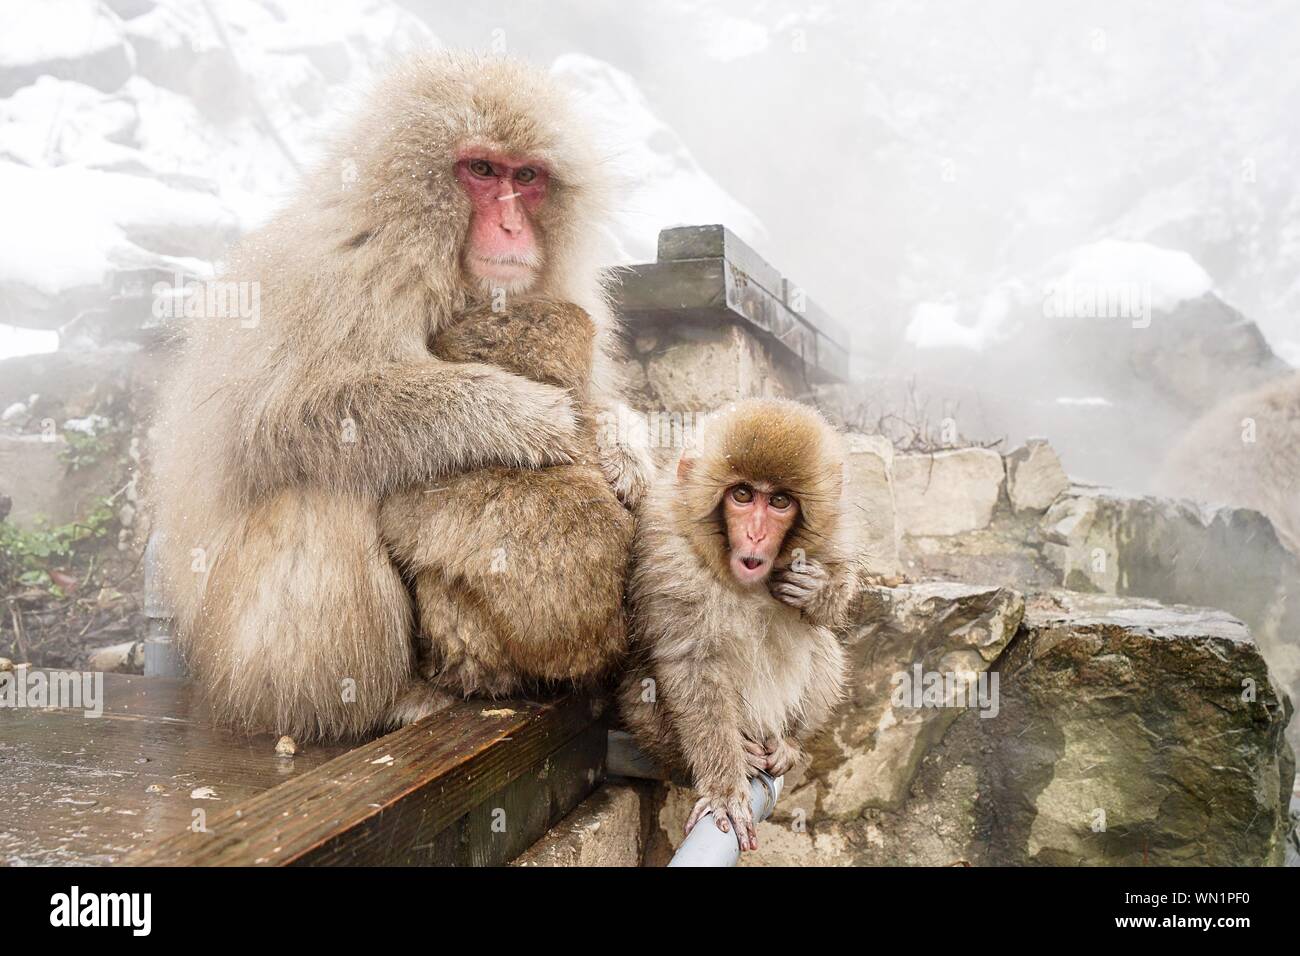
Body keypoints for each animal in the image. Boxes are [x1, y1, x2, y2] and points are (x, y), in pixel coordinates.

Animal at [617, 398, 859, 851]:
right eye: (743, 495)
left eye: (779, 500)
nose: (756, 534)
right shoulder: (670, 549)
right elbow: (691, 661)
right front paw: (725, 789)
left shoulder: (834, 535)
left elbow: (834, 601)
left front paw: (819, 591)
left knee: (823, 645)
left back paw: (789, 743)